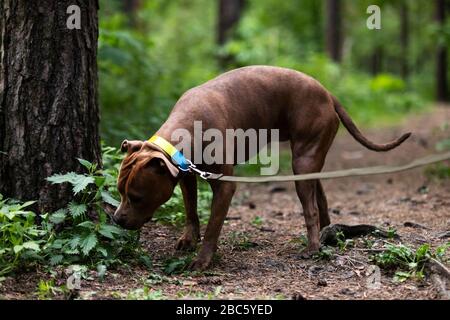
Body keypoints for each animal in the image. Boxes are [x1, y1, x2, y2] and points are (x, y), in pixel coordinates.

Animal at [114, 65, 410, 270]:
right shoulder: (186, 176)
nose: (116, 219)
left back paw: (313, 247)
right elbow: (191, 211)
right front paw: (189, 239)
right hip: (310, 161)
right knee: (321, 197)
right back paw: (328, 234)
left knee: (310, 208)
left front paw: (203, 259)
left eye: (136, 197)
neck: (185, 131)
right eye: (119, 192)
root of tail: (327, 93)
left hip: (302, 162)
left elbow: (213, 226)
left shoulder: (224, 186)